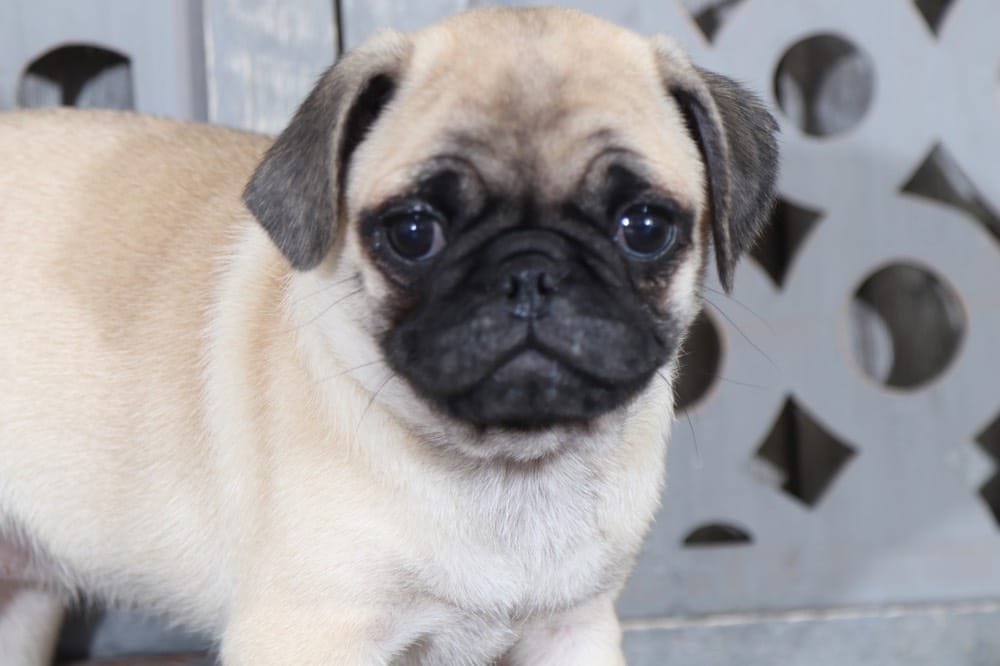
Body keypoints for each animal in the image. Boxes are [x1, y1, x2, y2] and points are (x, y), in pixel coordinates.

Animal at [0, 6, 772, 664]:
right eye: (412, 232)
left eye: (644, 227)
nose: (530, 271)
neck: (509, 469)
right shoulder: (310, 633)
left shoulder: (572, 630)